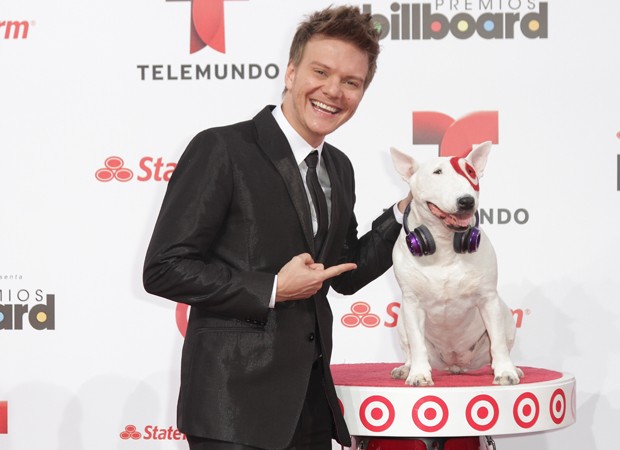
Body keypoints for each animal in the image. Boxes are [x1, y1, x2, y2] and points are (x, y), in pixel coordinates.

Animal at [390, 142, 520, 386]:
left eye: (471, 173)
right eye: (437, 172)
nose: (467, 200)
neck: (444, 244)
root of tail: (455, 364)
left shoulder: (488, 298)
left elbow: (497, 341)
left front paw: (506, 372)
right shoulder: (412, 303)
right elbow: (417, 343)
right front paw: (419, 374)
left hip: (506, 315)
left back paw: (513, 367)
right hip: (401, 321)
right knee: (410, 348)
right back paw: (406, 368)